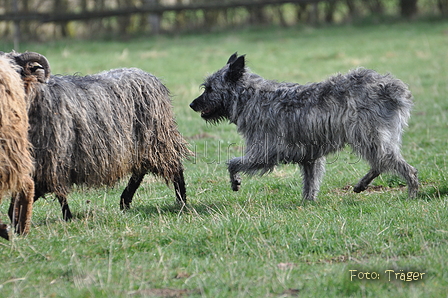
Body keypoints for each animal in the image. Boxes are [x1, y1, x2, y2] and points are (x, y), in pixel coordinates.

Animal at [3, 51, 192, 220]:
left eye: (17, 71)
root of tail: (150, 77)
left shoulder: (55, 159)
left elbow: (57, 192)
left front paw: (67, 216)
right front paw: (15, 215)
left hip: (157, 138)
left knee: (173, 167)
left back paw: (181, 201)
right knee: (140, 170)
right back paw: (125, 202)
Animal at [191, 53, 418, 201]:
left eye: (209, 88)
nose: (192, 104)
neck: (250, 96)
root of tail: (390, 87)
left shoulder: (264, 152)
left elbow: (232, 163)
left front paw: (235, 181)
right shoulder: (310, 157)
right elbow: (311, 182)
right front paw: (307, 203)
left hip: (368, 138)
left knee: (402, 167)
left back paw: (413, 192)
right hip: (373, 140)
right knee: (382, 163)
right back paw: (362, 184)